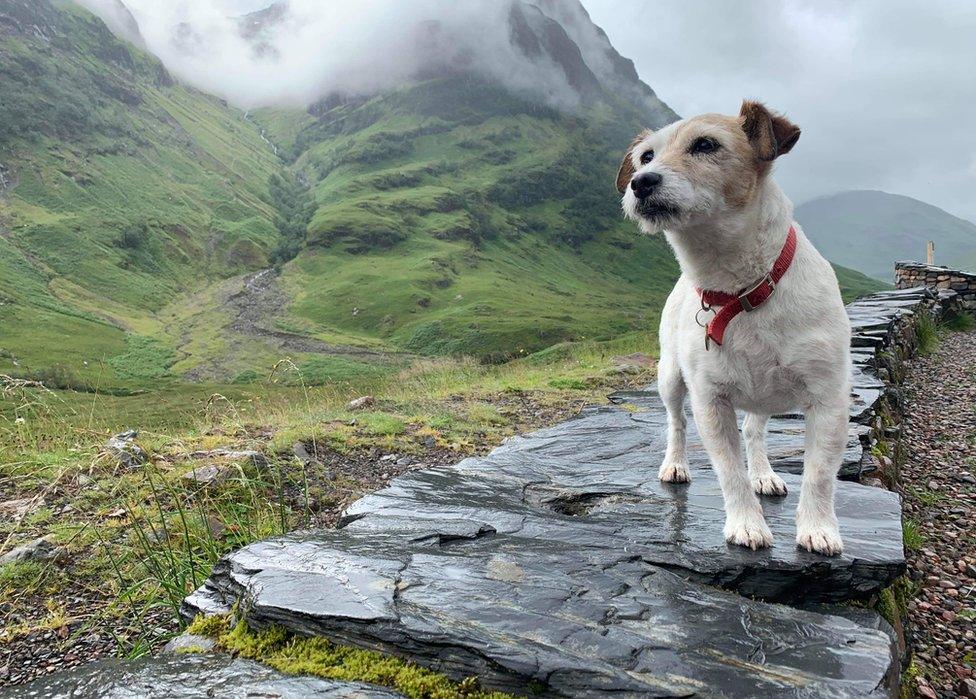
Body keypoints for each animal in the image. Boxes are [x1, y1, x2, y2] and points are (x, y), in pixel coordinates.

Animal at [620, 100, 852, 556]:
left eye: (706, 144)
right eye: (645, 157)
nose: (640, 183)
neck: (740, 290)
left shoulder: (829, 401)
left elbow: (819, 474)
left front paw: (817, 528)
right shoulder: (711, 401)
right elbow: (729, 471)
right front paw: (746, 523)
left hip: (764, 397)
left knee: (754, 432)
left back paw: (764, 473)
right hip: (669, 377)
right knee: (676, 423)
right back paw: (675, 463)